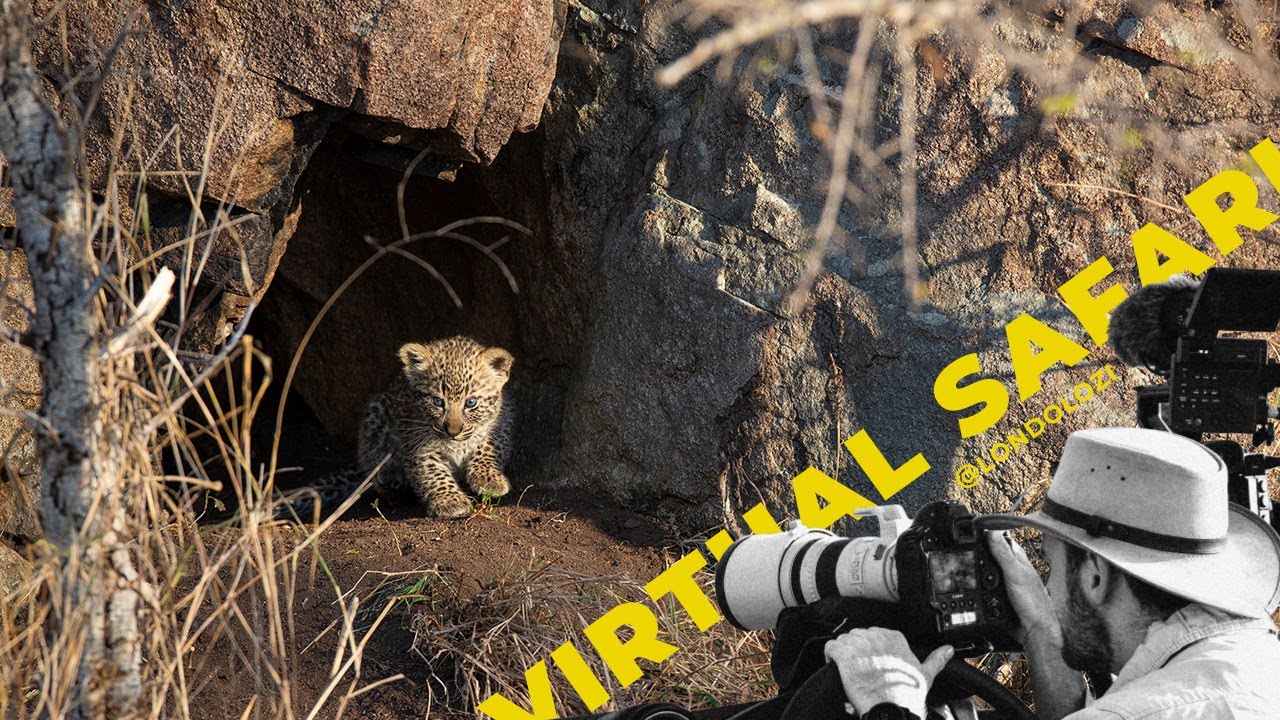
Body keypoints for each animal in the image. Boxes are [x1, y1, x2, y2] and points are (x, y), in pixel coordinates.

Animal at [279, 336, 514, 520]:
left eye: (471, 403)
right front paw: (450, 501)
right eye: (437, 401)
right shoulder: (416, 441)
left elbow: (487, 446)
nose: (452, 432)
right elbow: (432, 472)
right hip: (376, 412)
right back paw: (390, 478)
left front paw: (489, 480)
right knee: (373, 459)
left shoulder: (504, 418)